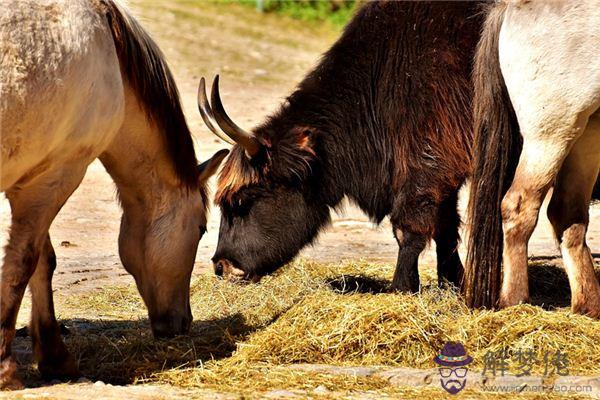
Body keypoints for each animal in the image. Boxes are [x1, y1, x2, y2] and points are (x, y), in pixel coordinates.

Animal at [0, 0, 229, 388]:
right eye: (201, 229)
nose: (183, 323)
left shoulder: (42, 175)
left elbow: (41, 262)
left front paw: (54, 356)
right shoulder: (57, 174)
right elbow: (26, 263)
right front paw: (7, 368)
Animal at [199, 2, 486, 290]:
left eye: (242, 200)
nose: (221, 266)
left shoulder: (429, 165)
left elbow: (409, 228)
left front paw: (402, 286)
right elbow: (445, 228)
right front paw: (453, 283)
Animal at [464, 1, 600, 318]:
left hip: (587, 132)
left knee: (568, 214)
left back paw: (589, 305)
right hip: (551, 133)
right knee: (519, 206)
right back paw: (514, 300)